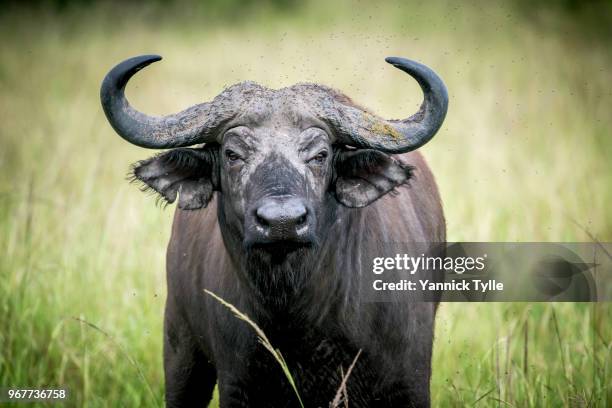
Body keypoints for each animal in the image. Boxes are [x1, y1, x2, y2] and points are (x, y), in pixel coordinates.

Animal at [99, 55, 444, 408]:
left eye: (320, 155)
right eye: (232, 154)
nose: (282, 222)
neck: (296, 313)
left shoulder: (410, 381)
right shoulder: (237, 385)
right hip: (181, 350)